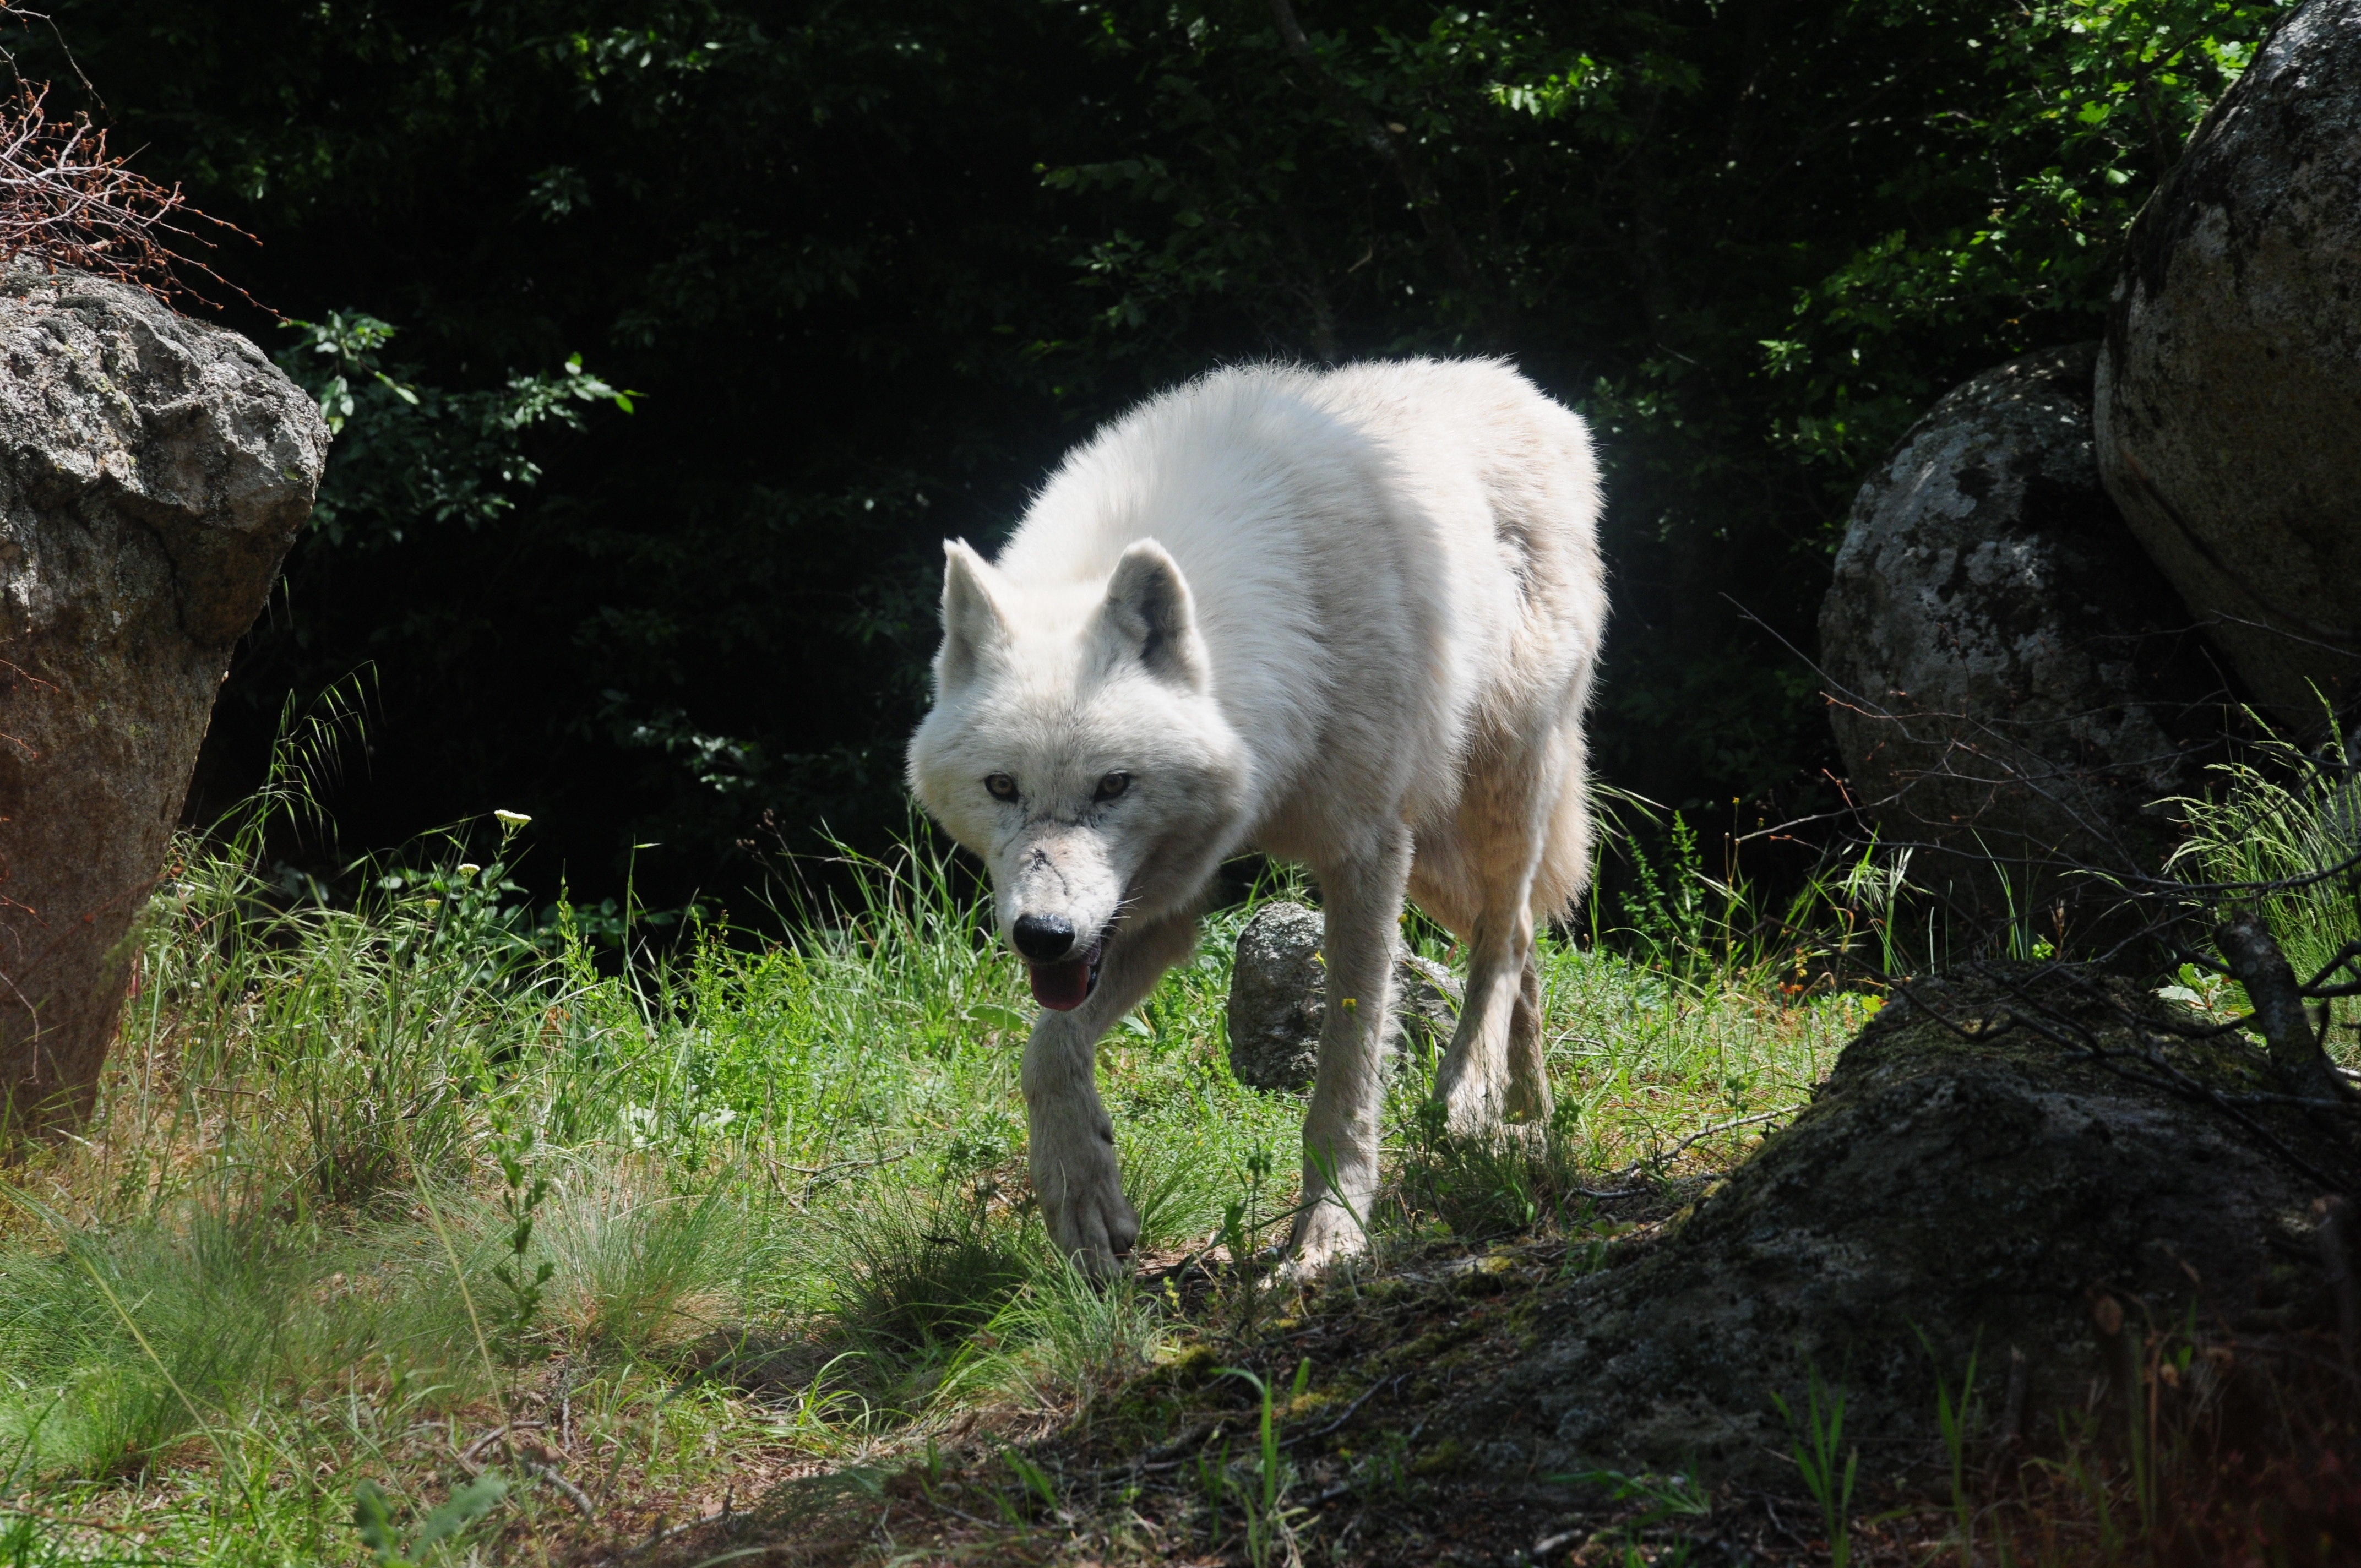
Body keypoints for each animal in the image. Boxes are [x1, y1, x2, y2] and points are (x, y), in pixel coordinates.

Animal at [902, 358, 1605, 1275]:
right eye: (1001, 787)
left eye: (1114, 785)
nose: (1043, 937)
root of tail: (1531, 394)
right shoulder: (1165, 907)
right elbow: (1046, 1049)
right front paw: (1083, 1191)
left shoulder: (1366, 854)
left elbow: (1347, 1072)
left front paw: (1329, 1234)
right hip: (1438, 854)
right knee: (1524, 939)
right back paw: (1528, 1119)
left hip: (1490, 792)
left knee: (1508, 934)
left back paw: (1470, 1094)